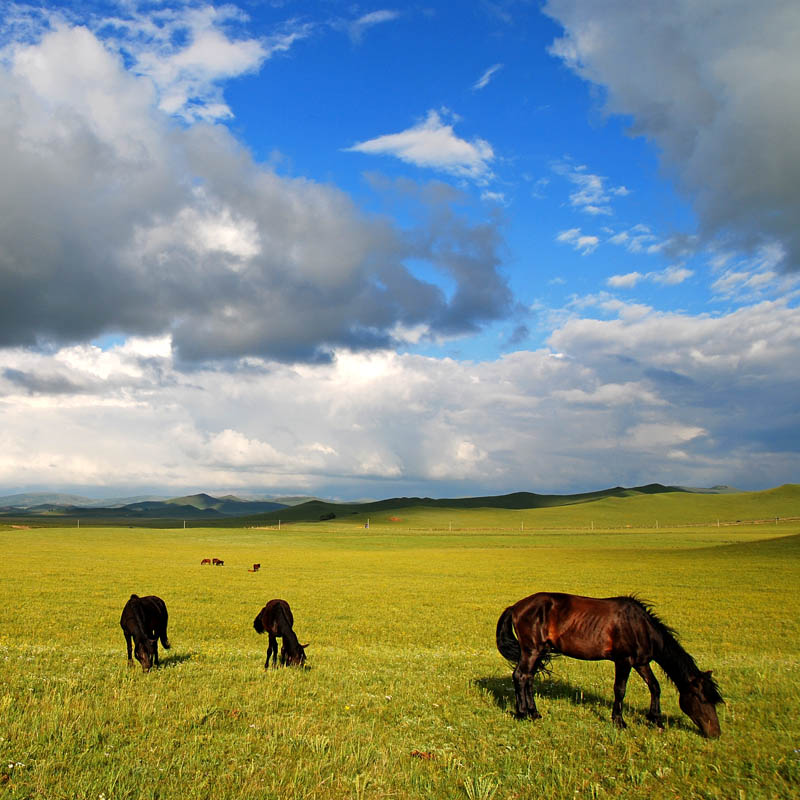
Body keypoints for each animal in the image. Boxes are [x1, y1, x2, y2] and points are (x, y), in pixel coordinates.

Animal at [496, 592, 720, 736]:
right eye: (701, 698)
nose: (715, 733)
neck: (640, 626)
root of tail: (515, 607)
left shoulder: (641, 662)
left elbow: (655, 686)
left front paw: (655, 718)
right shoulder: (623, 661)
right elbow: (620, 690)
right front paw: (619, 721)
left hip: (537, 652)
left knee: (528, 678)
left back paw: (534, 712)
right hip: (532, 650)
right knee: (520, 677)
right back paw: (522, 713)